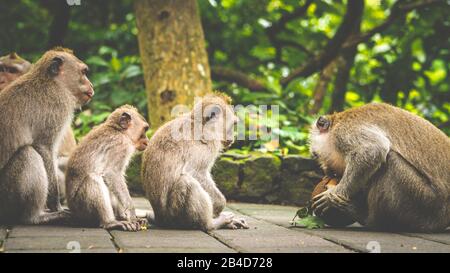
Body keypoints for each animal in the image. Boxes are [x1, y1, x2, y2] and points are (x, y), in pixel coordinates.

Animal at [0, 47, 93, 223]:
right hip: (7, 198)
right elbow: (44, 148)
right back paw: (35, 217)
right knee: (28, 154)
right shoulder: (59, 105)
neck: (51, 81)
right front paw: (55, 205)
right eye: (84, 72)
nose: (91, 85)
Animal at [142, 93, 250, 230]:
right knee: (187, 182)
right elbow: (194, 172)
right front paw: (220, 204)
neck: (201, 124)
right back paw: (210, 224)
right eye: (233, 124)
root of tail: (160, 218)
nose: (233, 138)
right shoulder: (207, 145)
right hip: (174, 216)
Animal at [310, 102, 450, 232]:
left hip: (427, 203)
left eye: (316, 155)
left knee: (391, 160)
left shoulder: (343, 132)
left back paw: (370, 220)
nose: (326, 170)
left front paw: (334, 193)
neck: (337, 122)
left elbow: (373, 150)